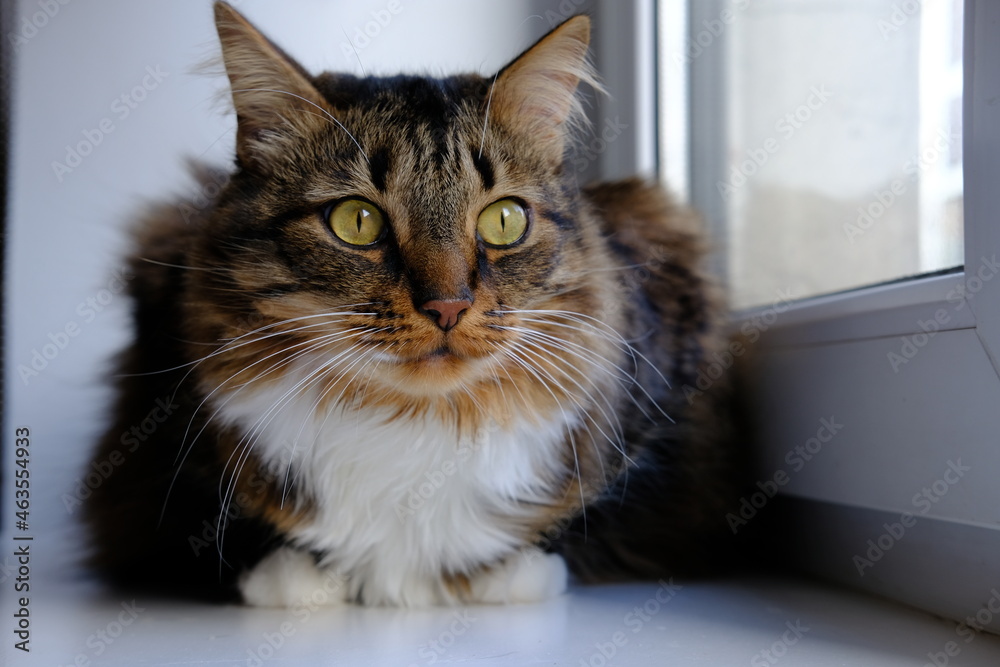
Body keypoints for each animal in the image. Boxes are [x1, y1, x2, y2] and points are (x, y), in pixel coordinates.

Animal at [86, 1, 748, 604]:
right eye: (357, 222)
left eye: (504, 221)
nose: (448, 307)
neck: (413, 421)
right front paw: (298, 579)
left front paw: (508, 573)